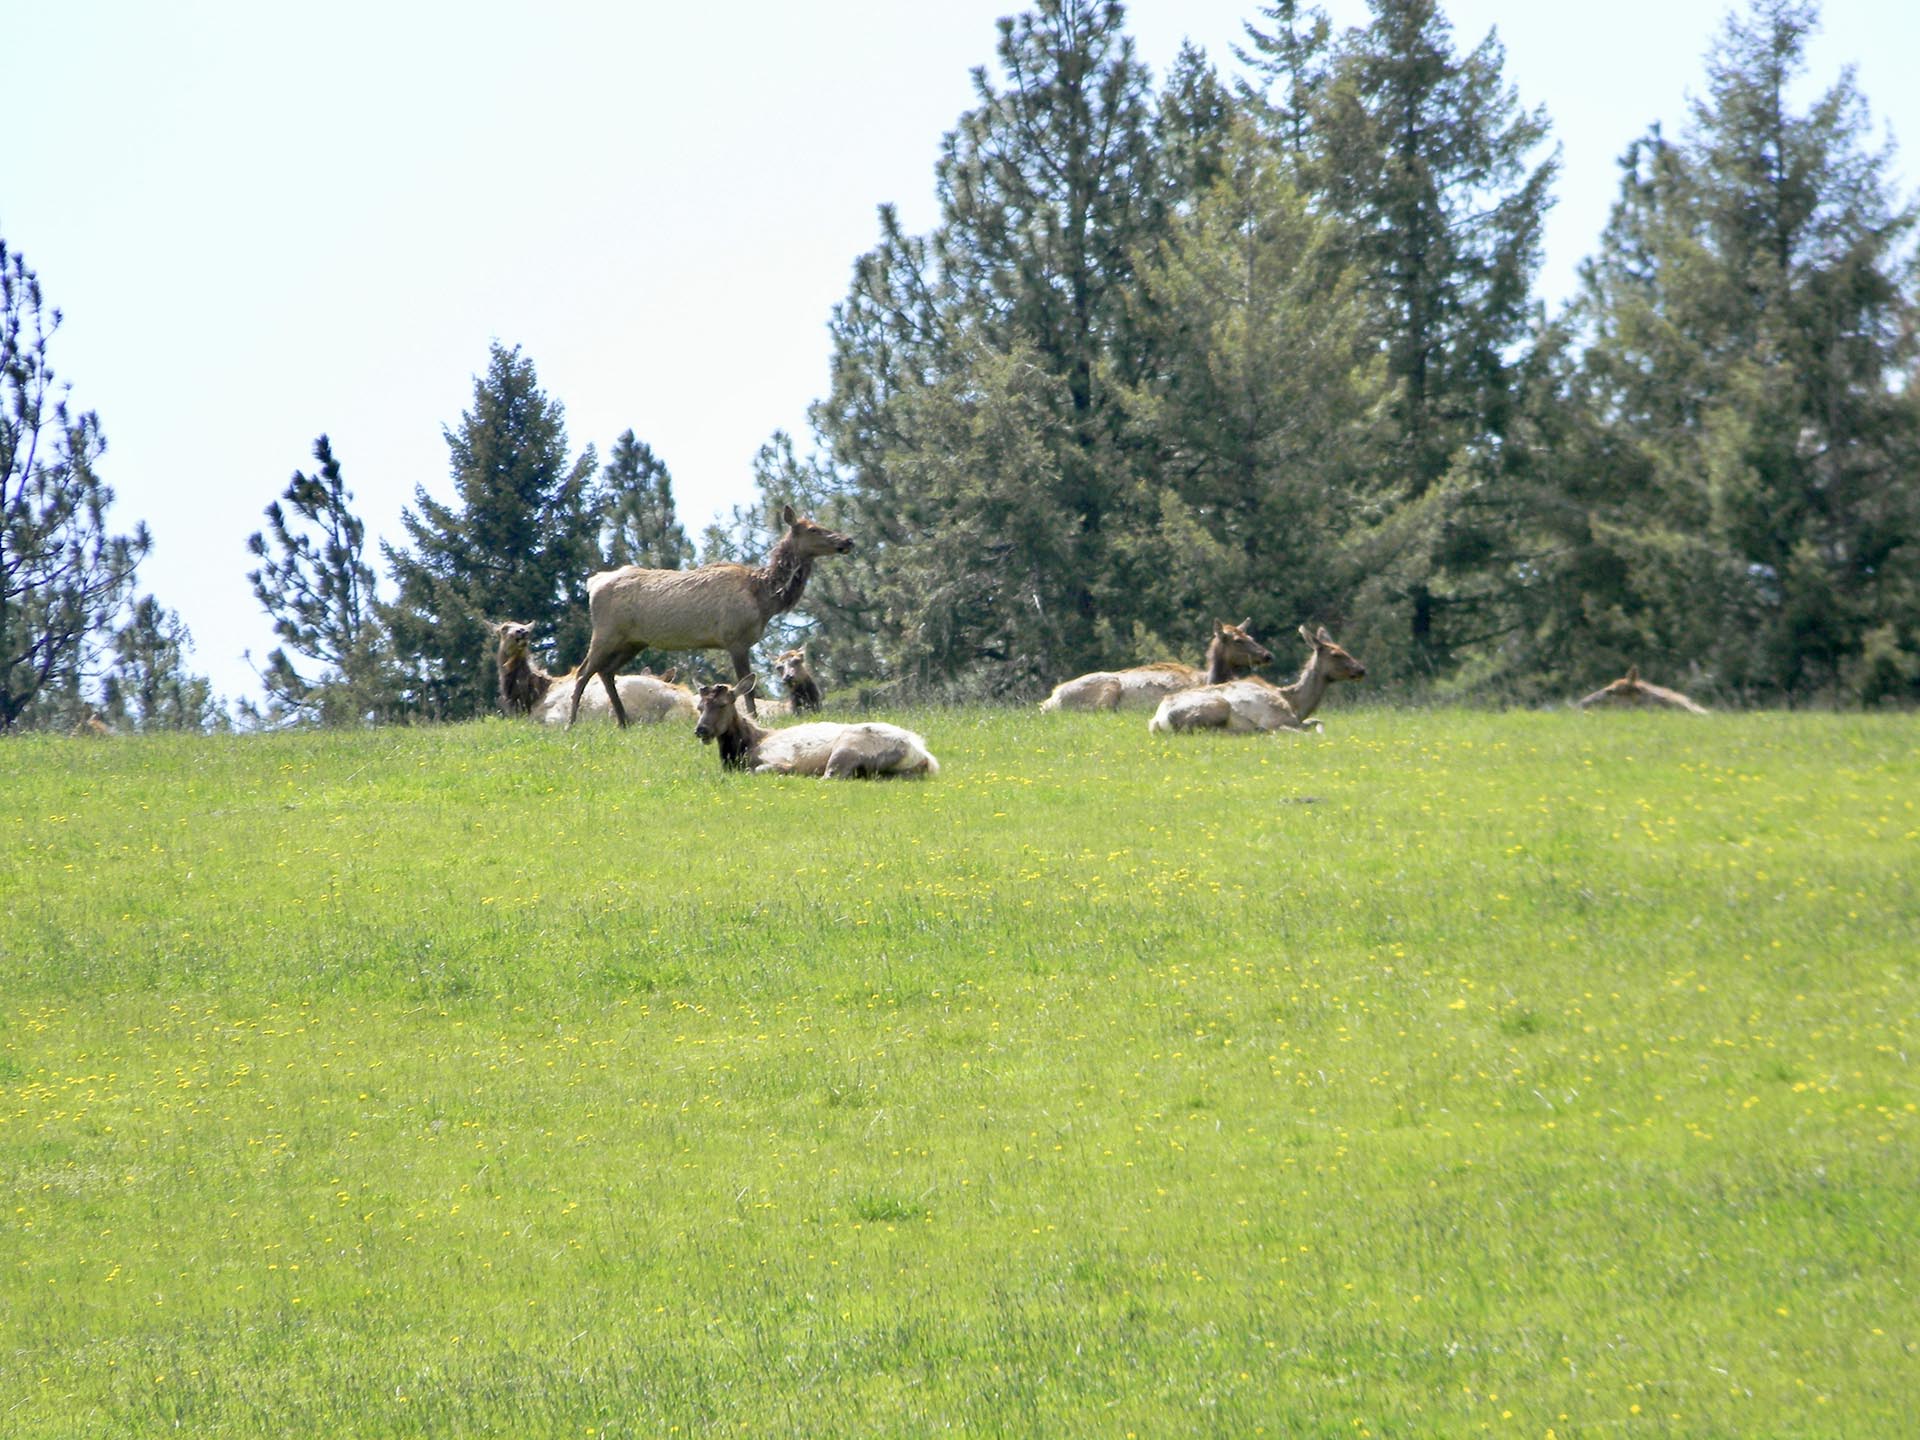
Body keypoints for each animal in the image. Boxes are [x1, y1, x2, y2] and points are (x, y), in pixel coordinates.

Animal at [569, 505, 853, 727]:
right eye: (813, 529)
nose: (848, 540)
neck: (764, 598)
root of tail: (593, 583)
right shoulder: (735, 639)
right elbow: (747, 688)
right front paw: (753, 719)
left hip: (633, 641)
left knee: (606, 671)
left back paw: (623, 721)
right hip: (606, 631)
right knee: (583, 672)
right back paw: (571, 724)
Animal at [692, 675, 938, 779]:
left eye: (723, 704)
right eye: (699, 706)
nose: (701, 730)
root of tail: (922, 755)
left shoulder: (781, 760)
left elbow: (757, 770)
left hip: (847, 747)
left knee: (830, 776)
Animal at [1040, 619, 1275, 712]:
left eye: (1250, 636)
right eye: (1237, 640)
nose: (1268, 655)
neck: (1210, 679)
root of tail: (1050, 700)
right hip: (1107, 687)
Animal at [1149, 625, 1366, 734]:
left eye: (1345, 650)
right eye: (1336, 654)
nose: (1362, 669)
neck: (1296, 705)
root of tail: (1159, 721)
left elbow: (1319, 722)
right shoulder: (1278, 719)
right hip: (1218, 706)